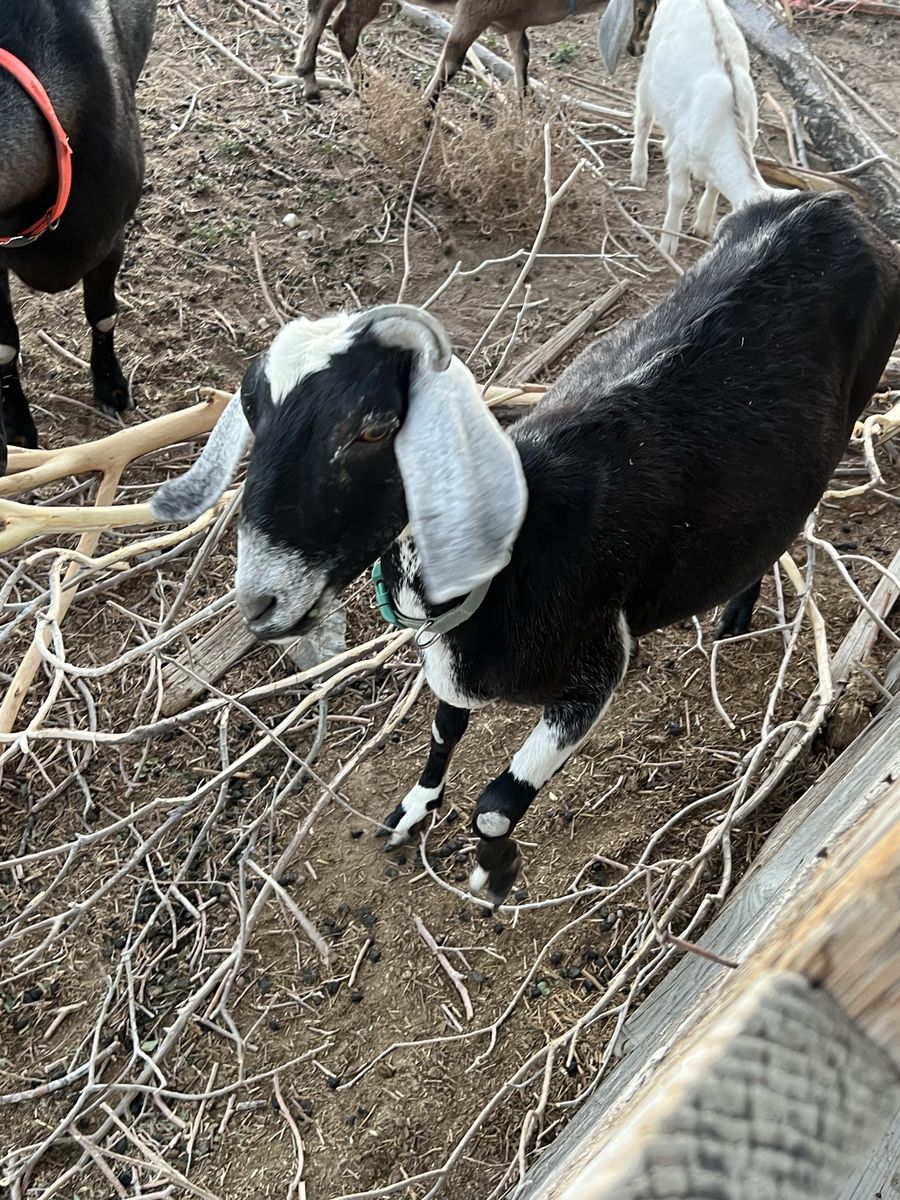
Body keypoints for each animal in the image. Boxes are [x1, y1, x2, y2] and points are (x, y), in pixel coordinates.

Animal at [151, 192, 900, 905]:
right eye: (253, 410)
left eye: (375, 427)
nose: (260, 602)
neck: (518, 554)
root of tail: (830, 206)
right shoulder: (453, 663)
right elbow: (444, 731)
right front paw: (413, 811)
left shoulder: (596, 670)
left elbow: (494, 804)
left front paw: (495, 873)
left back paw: (736, 616)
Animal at [297, 0, 648, 105]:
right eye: (643, 11)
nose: (638, 47)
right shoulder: (476, 10)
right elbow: (452, 60)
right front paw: (423, 114)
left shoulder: (512, 22)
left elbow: (522, 58)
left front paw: (522, 114)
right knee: (345, 27)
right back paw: (364, 89)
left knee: (321, 11)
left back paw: (309, 79)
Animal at [601, 0, 778, 257]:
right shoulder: (681, 155)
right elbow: (680, 195)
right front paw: (668, 241)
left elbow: (713, 187)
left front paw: (702, 225)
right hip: (649, 71)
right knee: (643, 120)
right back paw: (639, 171)